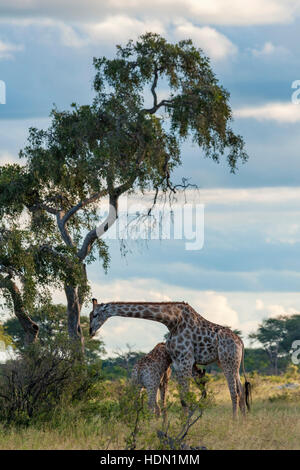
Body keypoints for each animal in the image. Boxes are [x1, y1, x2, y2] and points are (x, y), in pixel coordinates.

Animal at [90, 300, 252, 416]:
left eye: (95, 314)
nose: (90, 331)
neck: (172, 321)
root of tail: (241, 342)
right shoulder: (177, 362)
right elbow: (182, 399)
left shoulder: (186, 359)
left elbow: (185, 398)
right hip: (229, 362)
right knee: (241, 390)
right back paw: (243, 423)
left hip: (227, 361)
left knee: (234, 393)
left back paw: (234, 422)